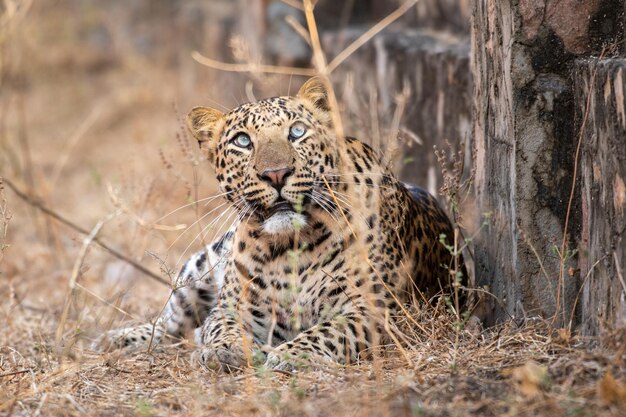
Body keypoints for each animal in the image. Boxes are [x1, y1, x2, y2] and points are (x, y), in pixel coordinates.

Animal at [94, 76, 464, 368]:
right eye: (243, 141)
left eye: (297, 132)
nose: (276, 174)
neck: (290, 246)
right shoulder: (233, 307)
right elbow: (219, 325)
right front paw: (224, 349)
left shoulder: (373, 310)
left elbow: (330, 330)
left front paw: (291, 354)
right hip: (199, 268)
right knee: (169, 325)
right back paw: (114, 339)